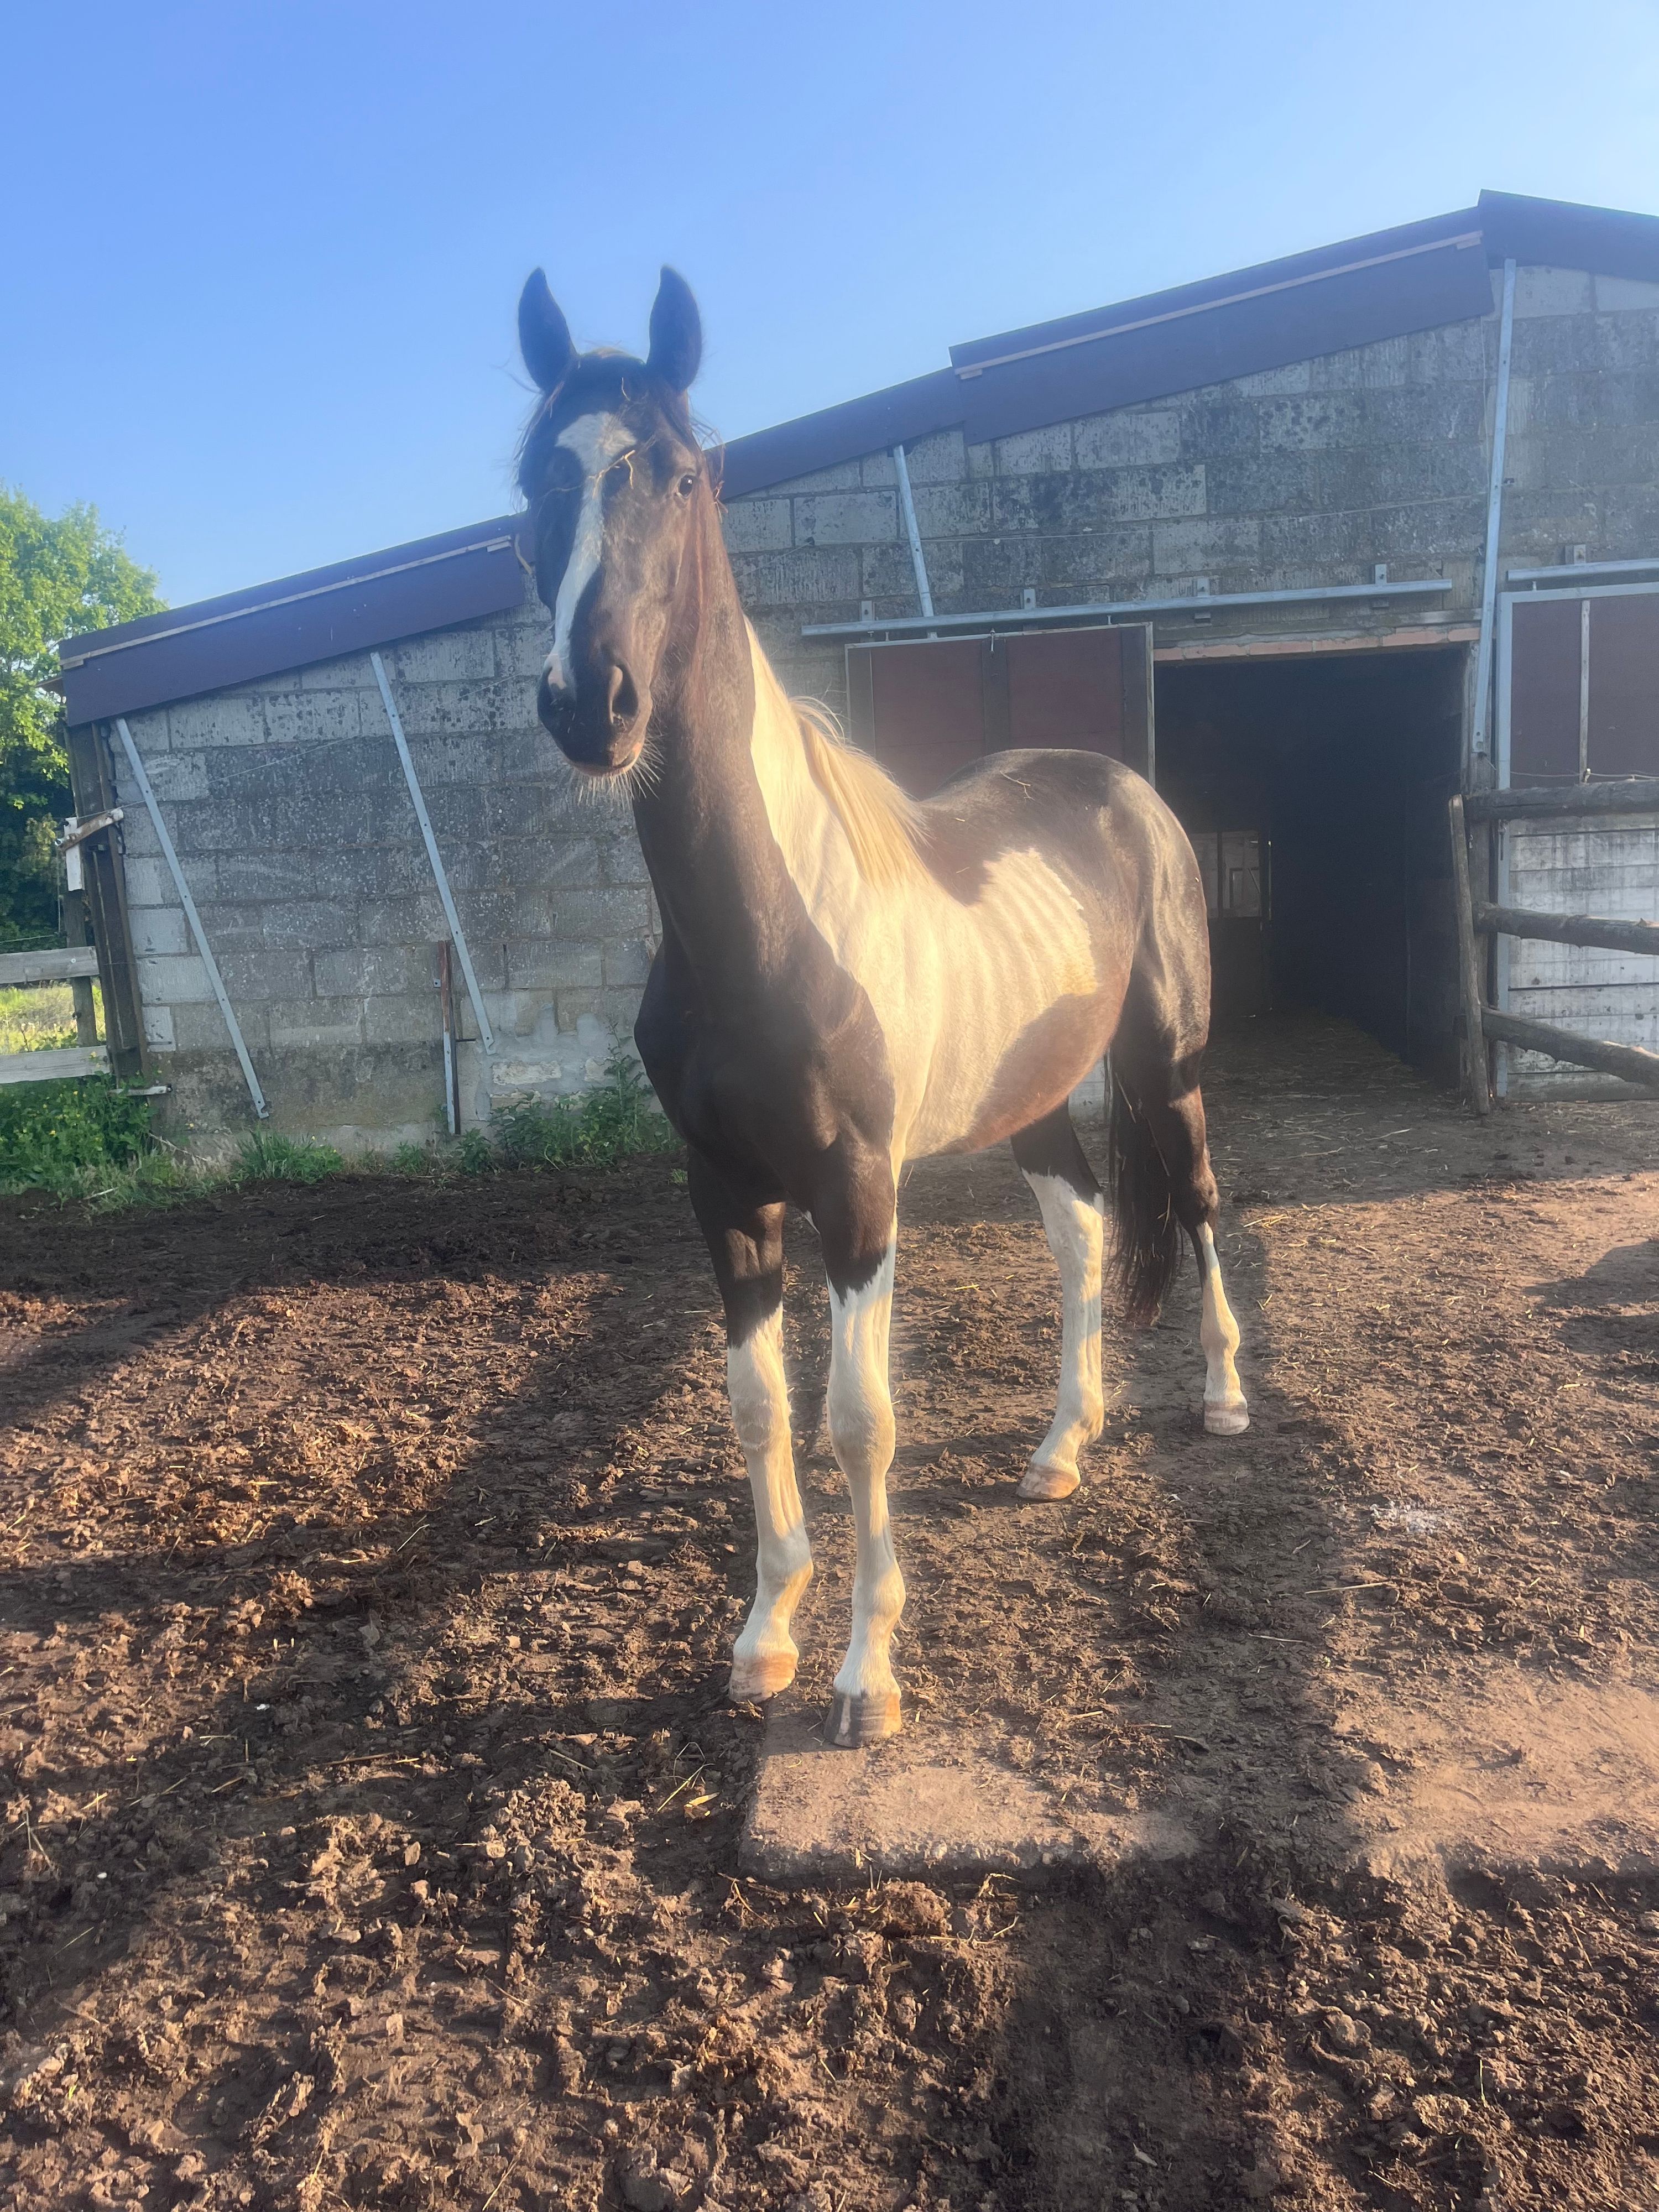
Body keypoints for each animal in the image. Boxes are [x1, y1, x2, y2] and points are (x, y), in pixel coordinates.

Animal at [514, 266, 1249, 1750]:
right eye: (528, 483)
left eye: (679, 475)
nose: (591, 703)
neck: (762, 930)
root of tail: (1122, 789)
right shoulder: (725, 1187)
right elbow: (753, 1405)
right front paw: (763, 1637)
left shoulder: (858, 1190)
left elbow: (859, 1417)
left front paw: (867, 1673)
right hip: (1034, 1103)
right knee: (1086, 1236)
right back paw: (1060, 1447)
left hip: (1167, 1063)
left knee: (1196, 1201)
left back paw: (1220, 1394)